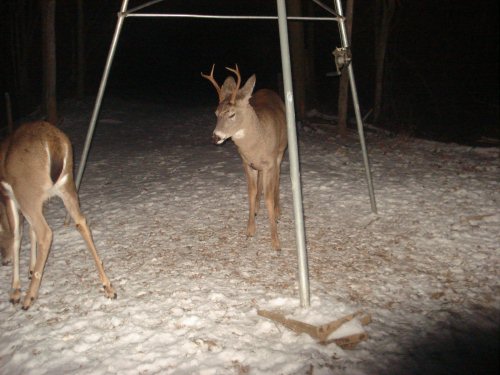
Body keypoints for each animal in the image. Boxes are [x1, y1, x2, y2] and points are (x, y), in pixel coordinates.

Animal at [0, 122, 115, 310]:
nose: (4, 261)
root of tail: (53, 142)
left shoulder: (8, 194)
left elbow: (17, 235)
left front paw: (15, 291)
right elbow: (29, 231)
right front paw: (31, 269)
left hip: (27, 191)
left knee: (45, 233)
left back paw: (29, 297)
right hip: (66, 184)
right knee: (81, 222)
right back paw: (109, 287)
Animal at [201, 64, 288, 251]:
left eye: (232, 114)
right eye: (216, 113)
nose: (215, 137)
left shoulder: (270, 162)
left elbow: (269, 196)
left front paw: (276, 242)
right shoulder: (246, 163)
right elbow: (251, 192)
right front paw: (250, 230)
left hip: (280, 153)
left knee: (277, 179)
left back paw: (277, 211)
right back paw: (257, 209)